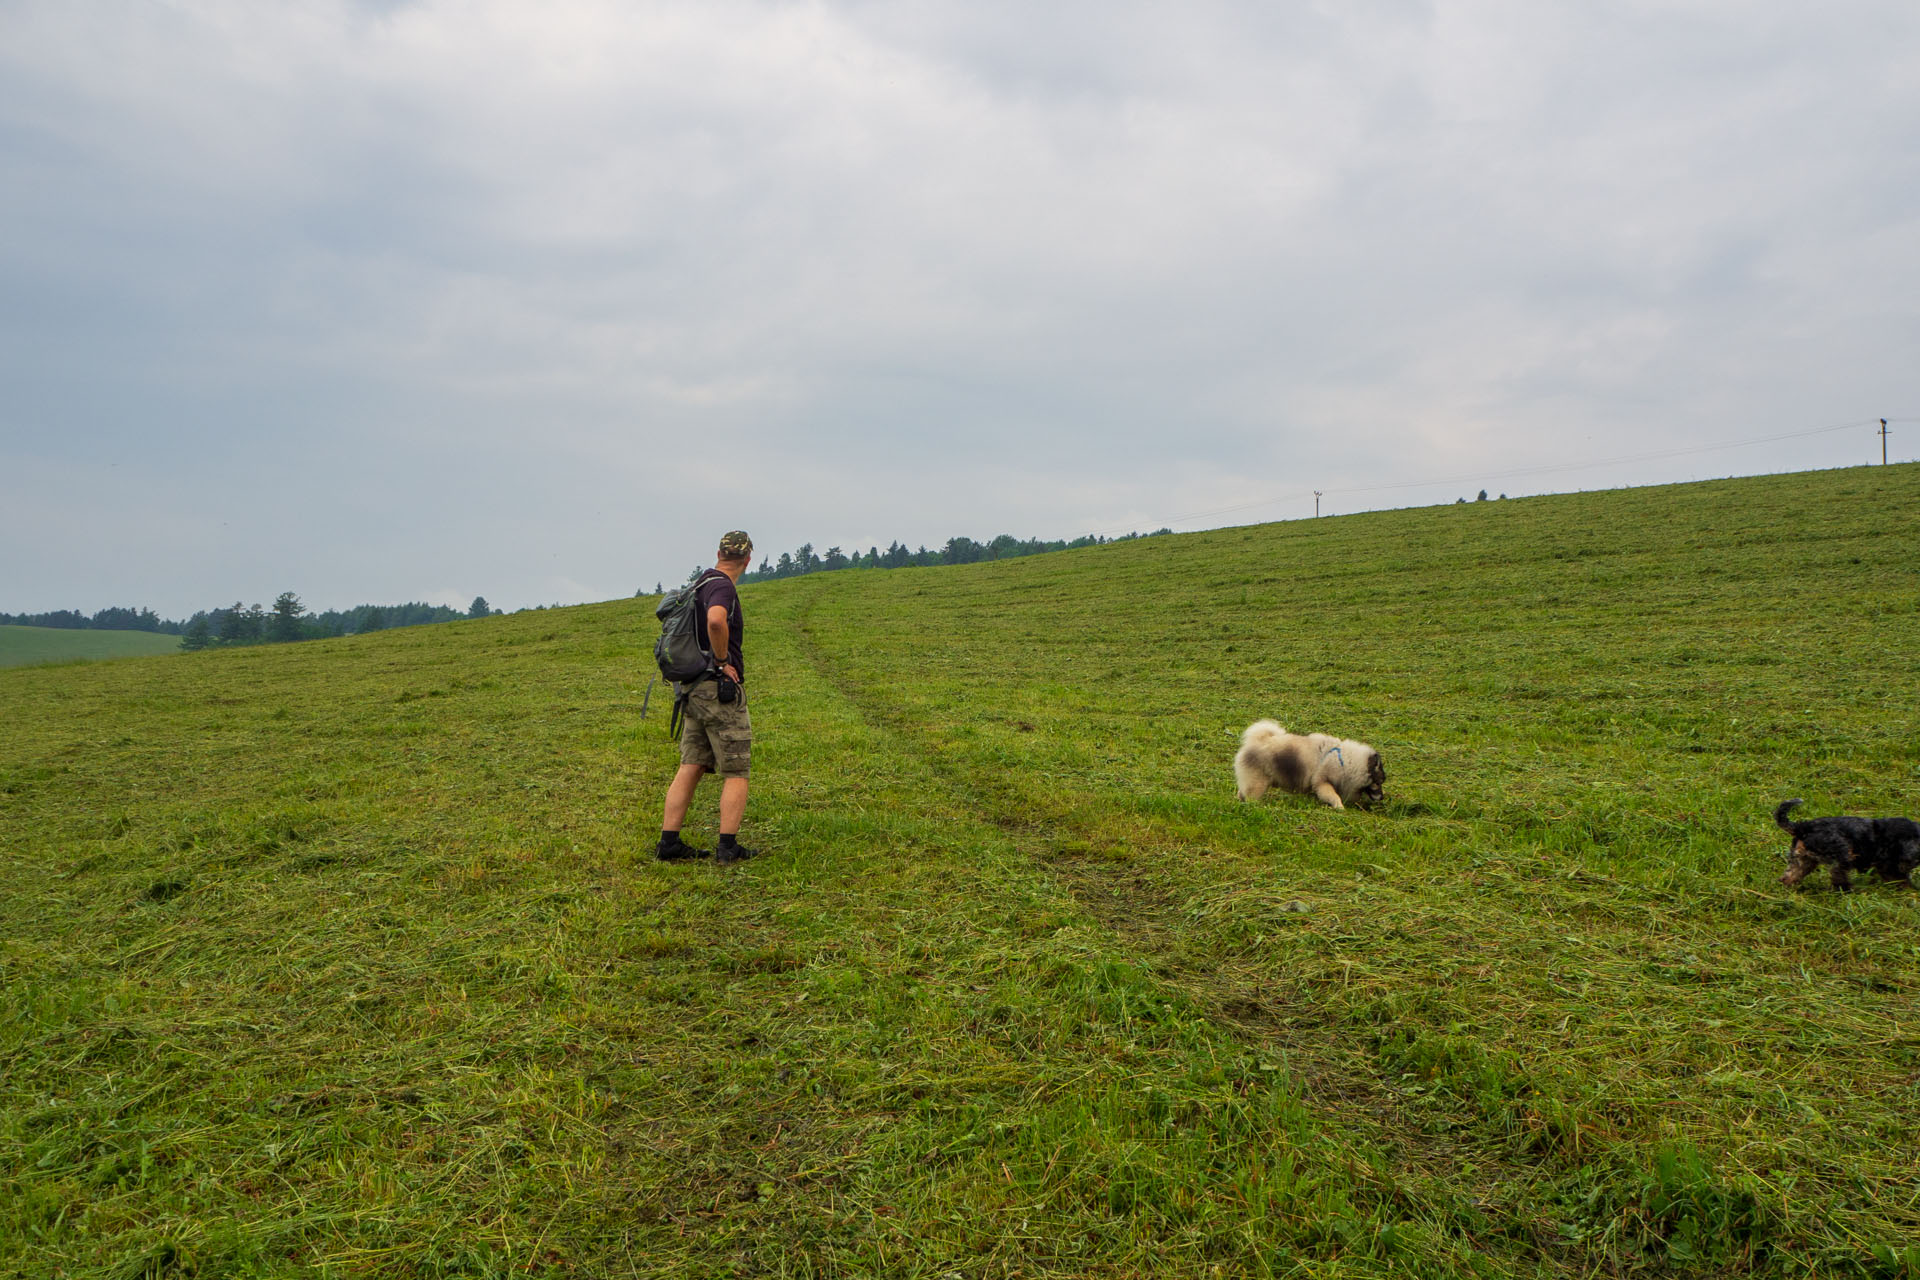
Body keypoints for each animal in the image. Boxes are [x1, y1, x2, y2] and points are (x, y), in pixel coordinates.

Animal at [1236, 721, 1390, 809]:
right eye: (1378, 783)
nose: (1382, 797)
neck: (1345, 761)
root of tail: (1256, 741)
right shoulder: (1322, 782)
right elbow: (1333, 796)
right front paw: (1339, 807)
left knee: (1241, 792)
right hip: (1258, 783)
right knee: (1250, 796)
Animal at [1766, 802, 1920, 890]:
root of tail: (1802, 827)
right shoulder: (1890, 864)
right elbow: (1900, 877)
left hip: (1802, 859)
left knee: (1789, 876)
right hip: (1843, 854)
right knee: (1838, 877)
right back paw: (1848, 890)